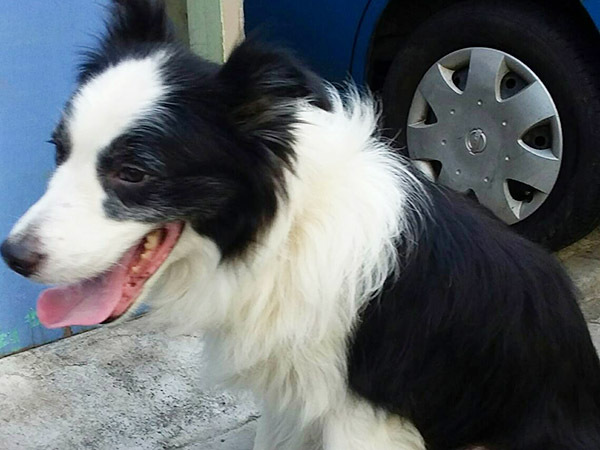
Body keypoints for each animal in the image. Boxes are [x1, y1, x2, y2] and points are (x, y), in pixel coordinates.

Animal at [2, 1, 600, 448]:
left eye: (134, 172)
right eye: (59, 150)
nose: (14, 255)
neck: (284, 233)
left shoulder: (363, 418)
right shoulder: (291, 401)